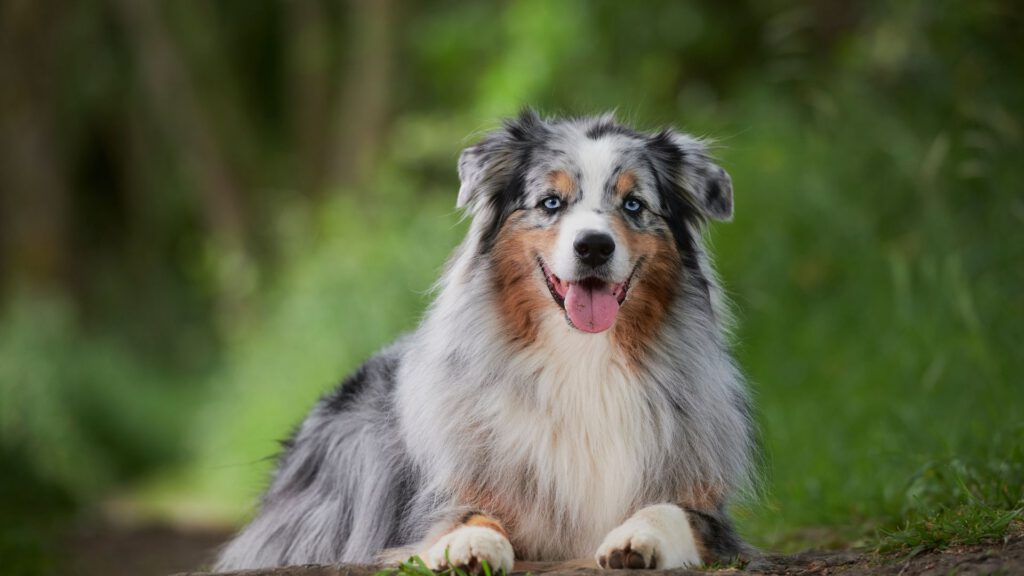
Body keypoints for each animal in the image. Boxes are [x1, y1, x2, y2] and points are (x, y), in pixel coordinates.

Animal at [214, 108, 753, 569]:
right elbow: (467, 514)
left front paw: (636, 537)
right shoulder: (440, 497)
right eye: (550, 202)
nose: (594, 247)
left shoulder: (710, 512)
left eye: (634, 204)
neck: (581, 356)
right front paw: (470, 545)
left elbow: (673, 511)